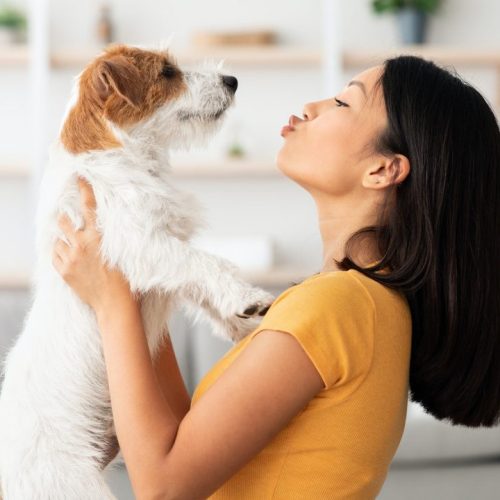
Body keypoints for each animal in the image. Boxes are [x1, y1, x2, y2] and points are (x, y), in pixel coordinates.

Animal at [0, 45, 274, 498]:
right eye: (167, 73)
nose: (232, 80)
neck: (118, 155)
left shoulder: (165, 251)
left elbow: (197, 285)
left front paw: (243, 325)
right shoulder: (143, 244)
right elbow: (204, 262)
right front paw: (247, 298)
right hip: (72, 485)